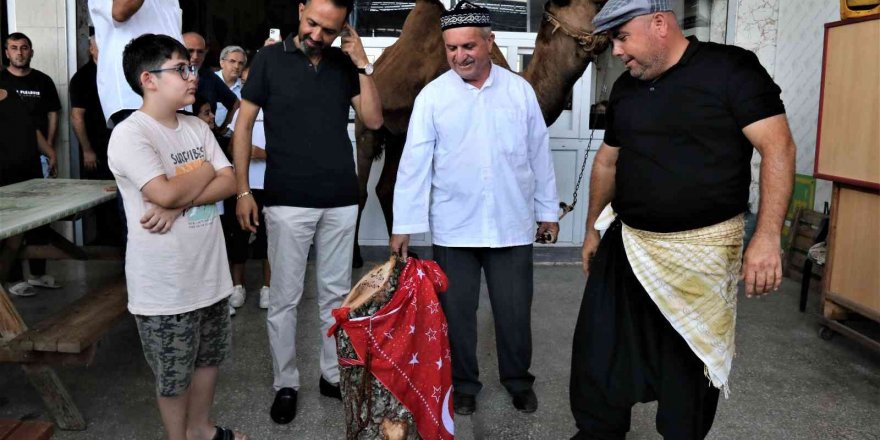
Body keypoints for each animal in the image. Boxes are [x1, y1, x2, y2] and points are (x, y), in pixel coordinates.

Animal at [348, 0, 604, 264]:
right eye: (596, 5)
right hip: (366, 123)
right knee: (362, 190)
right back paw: (356, 256)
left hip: (398, 137)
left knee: (386, 187)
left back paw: (402, 254)